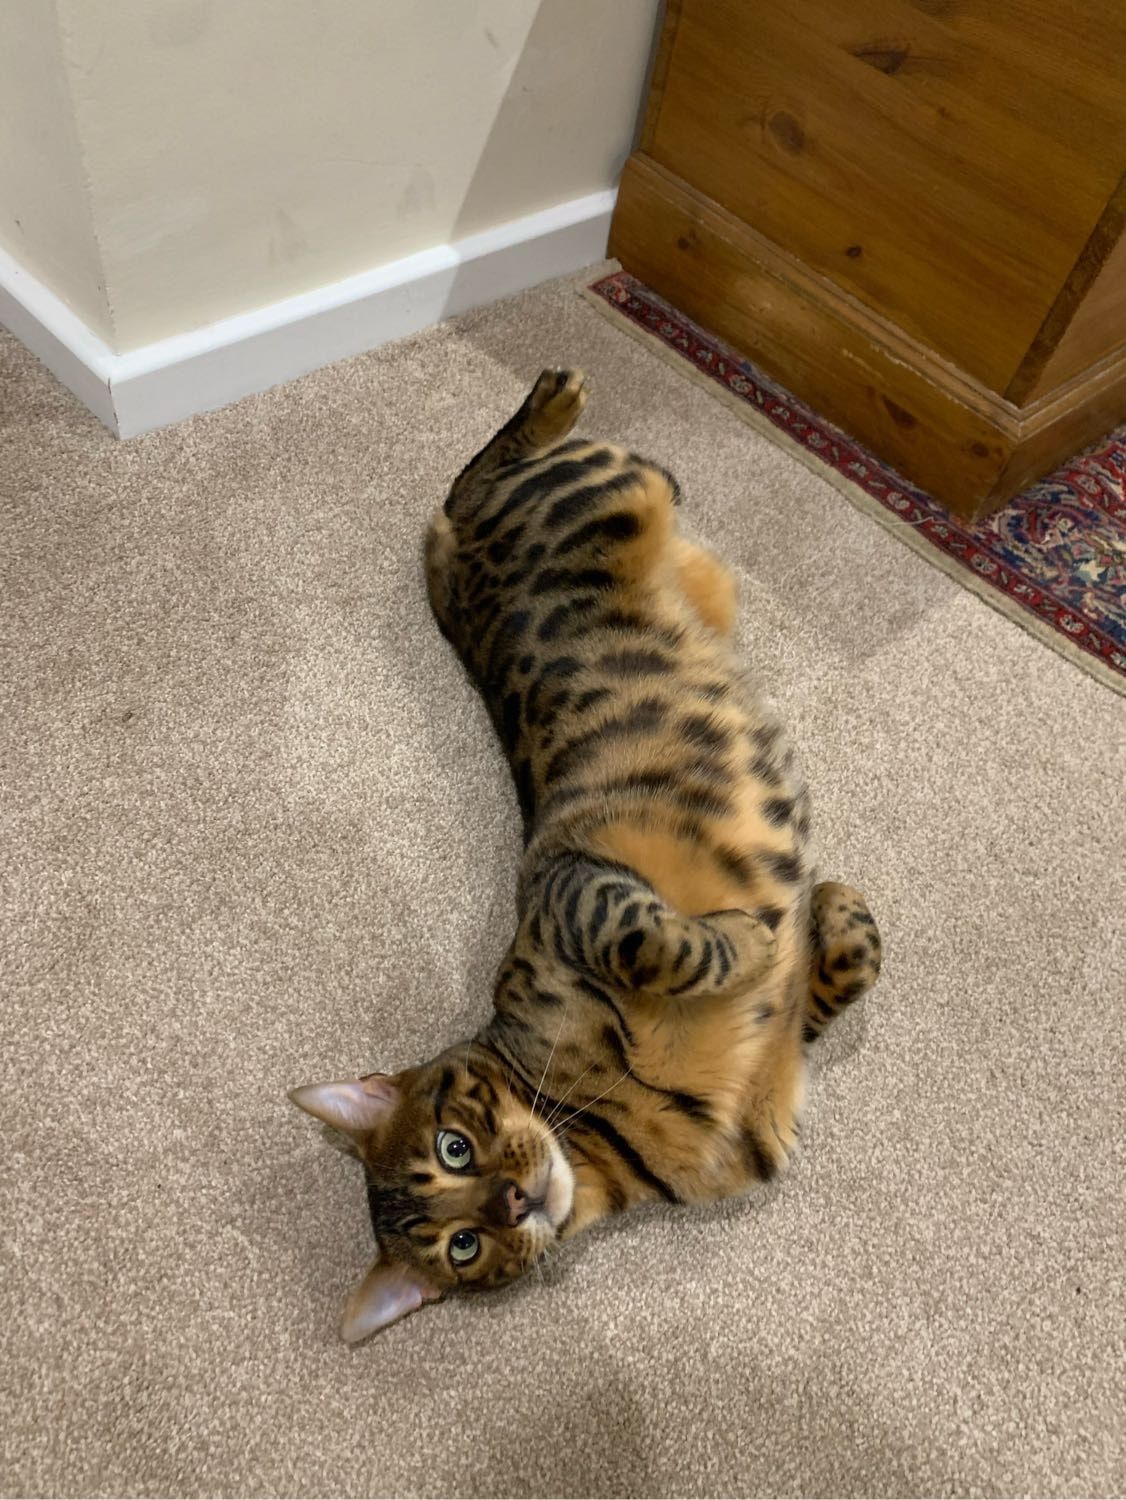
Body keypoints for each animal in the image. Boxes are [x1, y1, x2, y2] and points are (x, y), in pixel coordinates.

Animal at [290, 369, 881, 1341]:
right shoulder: (777, 1033)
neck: (600, 1128)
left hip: (599, 495)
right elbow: (809, 962)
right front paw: (812, 918)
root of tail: (446, 573)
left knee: (475, 479)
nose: (513, 1200)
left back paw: (553, 398)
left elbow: (660, 937)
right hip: (641, 519)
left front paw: (776, 928)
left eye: (455, 1147)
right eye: (463, 1246)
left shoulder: (567, 890)